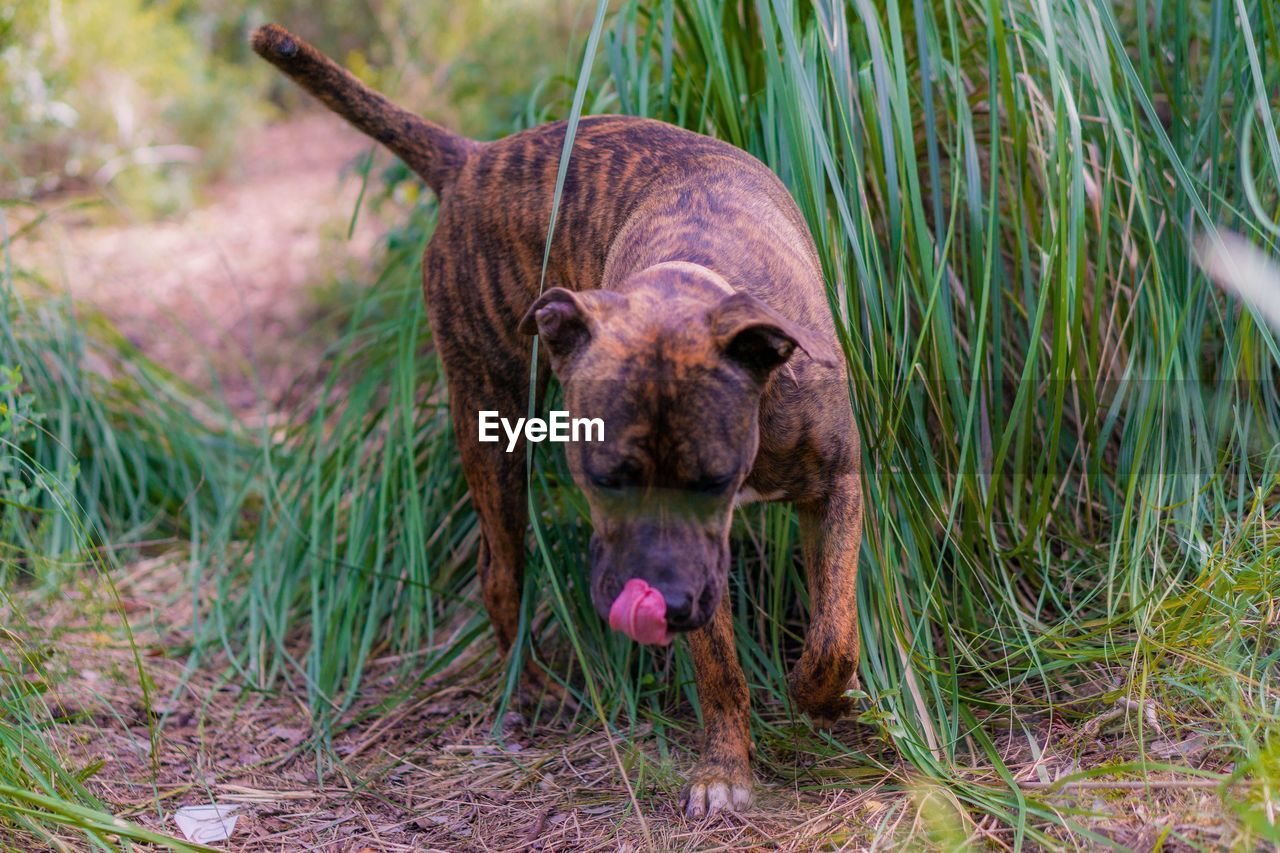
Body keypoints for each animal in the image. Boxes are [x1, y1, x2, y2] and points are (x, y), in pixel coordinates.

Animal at [252, 23, 860, 814]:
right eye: (605, 480)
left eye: (713, 481)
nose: (660, 599)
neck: (687, 283)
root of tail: (473, 157)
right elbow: (720, 667)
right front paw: (726, 766)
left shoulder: (834, 484)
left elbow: (834, 633)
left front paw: (823, 695)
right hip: (491, 424)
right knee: (499, 573)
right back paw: (532, 687)